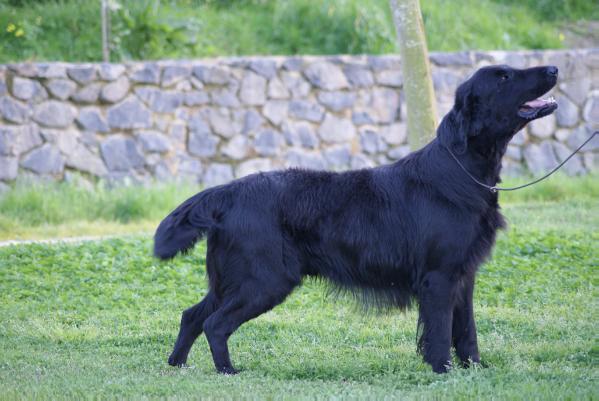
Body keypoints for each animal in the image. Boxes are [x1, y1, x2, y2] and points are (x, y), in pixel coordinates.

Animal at [154, 64, 556, 374]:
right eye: (504, 77)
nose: (553, 68)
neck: (459, 170)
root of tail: (227, 191)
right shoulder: (439, 277)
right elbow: (441, 333)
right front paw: (442, 370)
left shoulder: (463, 275)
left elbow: (467, 330)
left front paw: (474, 367)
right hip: (264, 280)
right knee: (215, 324)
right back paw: (228, 371)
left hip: (231, 280)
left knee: (192, 315)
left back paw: (178, 364)